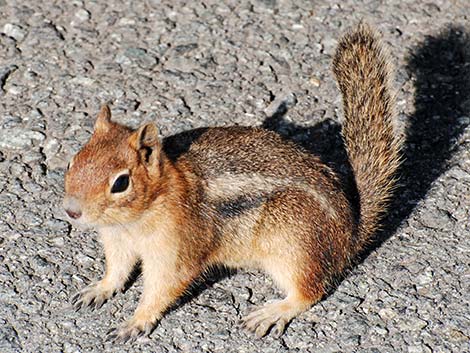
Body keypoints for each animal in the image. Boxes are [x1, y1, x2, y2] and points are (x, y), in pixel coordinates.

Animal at [61, 22, 400, 340]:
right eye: (71, 162)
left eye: (120, 183)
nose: (71, 211)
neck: (136, 217)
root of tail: (350, 235)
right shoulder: (118, 241)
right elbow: (117, 270)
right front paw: (99, 288)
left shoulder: (175, 249)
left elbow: (164, 286)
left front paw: (136, 321)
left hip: (293, 244)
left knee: (310, 290)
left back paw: (274, 311)